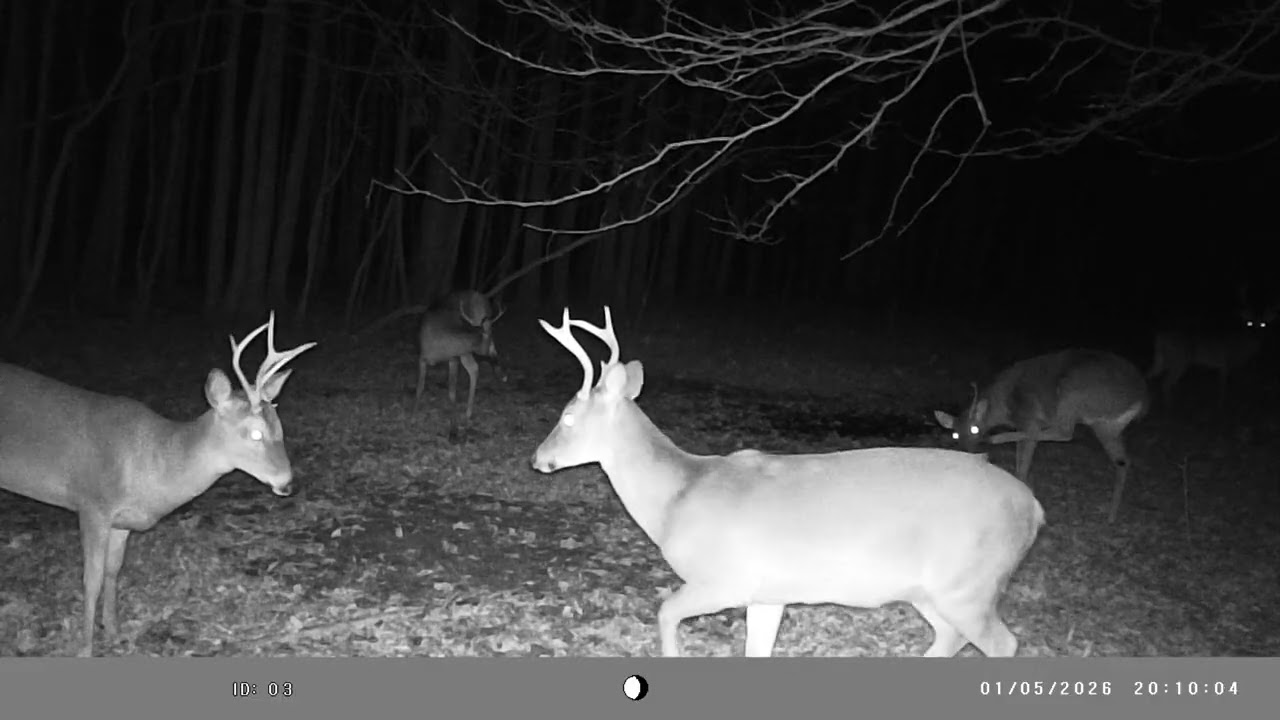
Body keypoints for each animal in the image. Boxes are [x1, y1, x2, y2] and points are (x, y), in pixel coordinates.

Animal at [0, 312, 315, 656]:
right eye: (255, 433)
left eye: (279, 426)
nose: (288, 482)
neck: (150, 460)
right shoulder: (92, 504)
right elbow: (91, 578)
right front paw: (85, 648)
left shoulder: (121, 521)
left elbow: (113, 571)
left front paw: (115, 633)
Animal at [414, 289, 505, 422]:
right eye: (483, 334)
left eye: (489, 333)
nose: (489, 350)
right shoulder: (423, 357)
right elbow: (420, 388)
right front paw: (414, 413)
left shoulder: (454, 357)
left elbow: (452, 389)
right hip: (465, 350)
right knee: (474, 368)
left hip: (465, 350)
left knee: (474, 369)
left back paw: (468, 412)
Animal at [531, 307, 1044, 658]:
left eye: (568, 416)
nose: (538, 458)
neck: (678, 496)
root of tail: (1036, 510)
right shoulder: (769, 594)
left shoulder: (726, 579)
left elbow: (664, 612)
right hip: (937, 591)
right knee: (953, 638)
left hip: (968, 582)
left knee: (1003, 643)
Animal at [934, 349, 1149, 524]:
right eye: (954, 435)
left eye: (974, 429)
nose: (967, 453)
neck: (1005, 405)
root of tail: (1142, 399)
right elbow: (1021, 455)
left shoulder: (1029, 417)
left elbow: (1025, 455)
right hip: (1107, 426)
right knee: (1123, 460)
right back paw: (1111, 516)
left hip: (1073, 395)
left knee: (1064, 432)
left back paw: (996, 438)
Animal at [1146, 285, 1278, 408]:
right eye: (1249, 322)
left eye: (1264, 324)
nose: (1257, 335)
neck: (1242, 345)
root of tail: (1160, 336)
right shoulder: (1227, 363)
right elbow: (1224, 387)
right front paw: (1221, 405)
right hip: (1179, 360)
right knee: (1165, 383)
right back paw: (1170, 407)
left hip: (1162, 359)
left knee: (1150, 375)